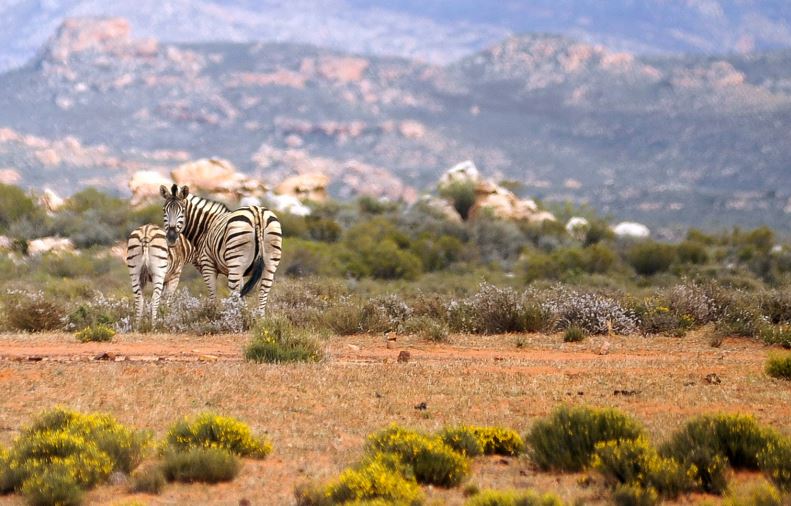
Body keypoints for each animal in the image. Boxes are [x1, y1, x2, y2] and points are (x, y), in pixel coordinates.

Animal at [158, 184, 282, 314]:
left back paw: (235, 317)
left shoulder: (208, 265)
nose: (171, 237)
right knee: (263, 292)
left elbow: (213, 295)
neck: (206, 227)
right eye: (164, 210)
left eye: (182, 211)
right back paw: (258, 317)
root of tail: (257, 213)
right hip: (270, 264)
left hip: (235, 263)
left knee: (235, 294)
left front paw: (211, 314)